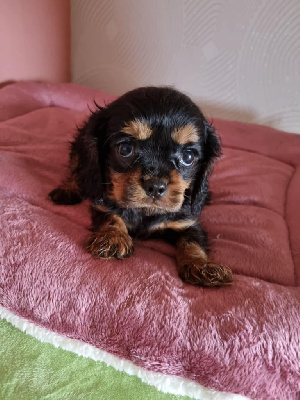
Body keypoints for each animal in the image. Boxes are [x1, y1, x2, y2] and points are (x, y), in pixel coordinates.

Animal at [48, 86, 232, 288]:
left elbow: (193, 240)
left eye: (188, 157)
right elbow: (111, 216)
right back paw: (69, 189)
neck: (146, 211)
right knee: (80, 171)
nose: (155, 186)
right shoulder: (102, 202)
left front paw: (201, 265)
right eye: (125, 149)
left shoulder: (186, 221)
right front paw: (112, 238)